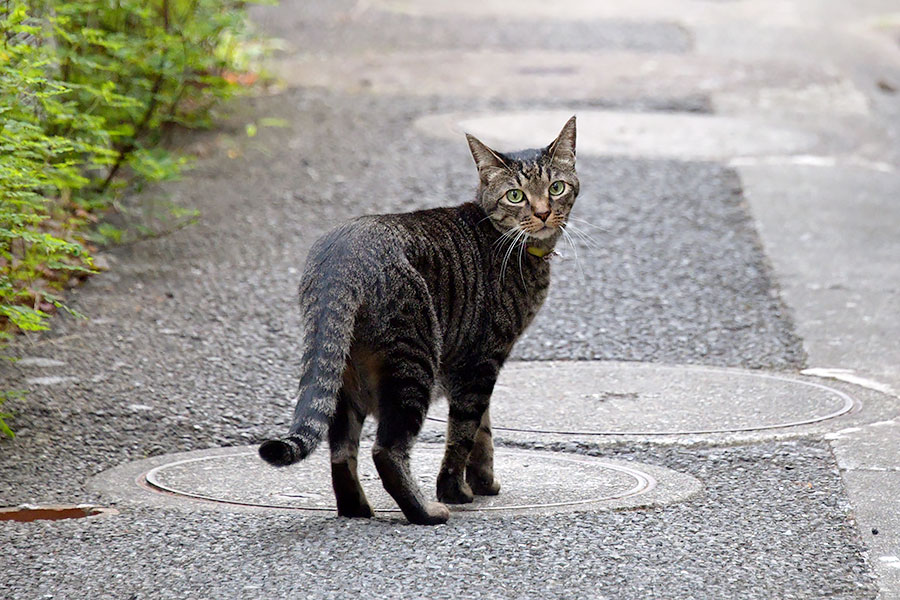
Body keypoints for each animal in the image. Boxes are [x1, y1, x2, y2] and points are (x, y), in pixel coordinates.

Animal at [260, 117, 580, 524]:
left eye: (556, 188)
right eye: (515, 196)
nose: (541, 213)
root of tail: (342, 256)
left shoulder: (474, 366)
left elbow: (484, 430)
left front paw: (483, 481)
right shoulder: (481, 360)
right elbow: (464, 432)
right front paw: (456, 490)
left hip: (341, 375)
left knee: (342, 451)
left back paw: (356, 509)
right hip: (414, 362)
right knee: (386, 450)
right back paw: (425, 511)